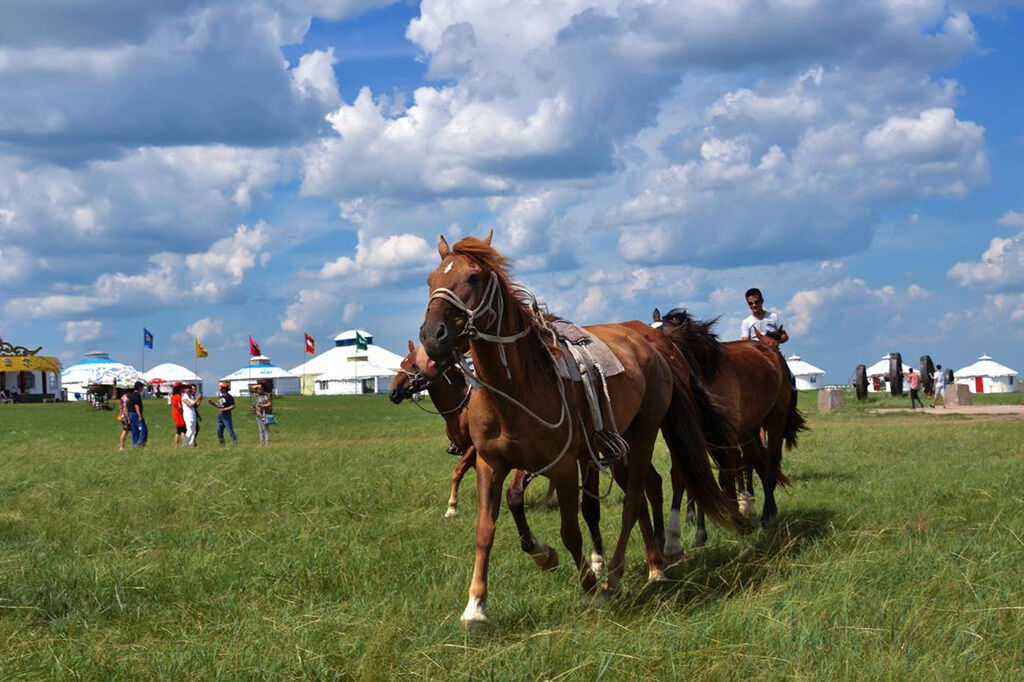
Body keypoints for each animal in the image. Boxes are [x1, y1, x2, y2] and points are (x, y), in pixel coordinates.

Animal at [419, 232, 741, 622]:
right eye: (431, 280)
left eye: (474, 277)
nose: (432, 337)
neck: (515, 389)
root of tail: (655, 348)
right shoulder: (490, 464)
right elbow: (486, 530)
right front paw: (476, 606)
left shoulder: (562, 466)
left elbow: (570, 530)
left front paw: (589, 590)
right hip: (618, 443)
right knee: (646, 489)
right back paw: (654, 566)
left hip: (645, 433)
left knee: (636, 498)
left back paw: (618, 575)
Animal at [651, 305, 802, 544]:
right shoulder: (695, 440)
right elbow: (696, 478)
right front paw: (700, 531)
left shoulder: (725, 440)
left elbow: (725, 475)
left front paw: (735, 521)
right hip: (749, 431)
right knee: (758, 463)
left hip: (774, 423)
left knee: (769, 464)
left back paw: (765, 514)